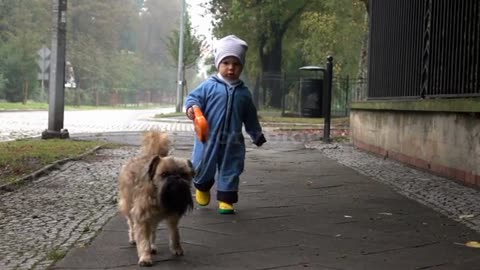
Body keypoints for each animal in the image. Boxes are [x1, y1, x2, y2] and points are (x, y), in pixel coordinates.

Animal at [117, 132, 193, 266]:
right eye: (164, 174)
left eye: (184, 175)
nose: (176, 178)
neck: (158, 195)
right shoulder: (141, 218)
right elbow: (143, 239)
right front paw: (145, 256)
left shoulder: (173, 217)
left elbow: (175, 233)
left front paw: (177, 248)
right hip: (128, 204)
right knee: (131, 222)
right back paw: (133, 238)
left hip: (152, 218)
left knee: (152, 231)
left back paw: (152, 245)